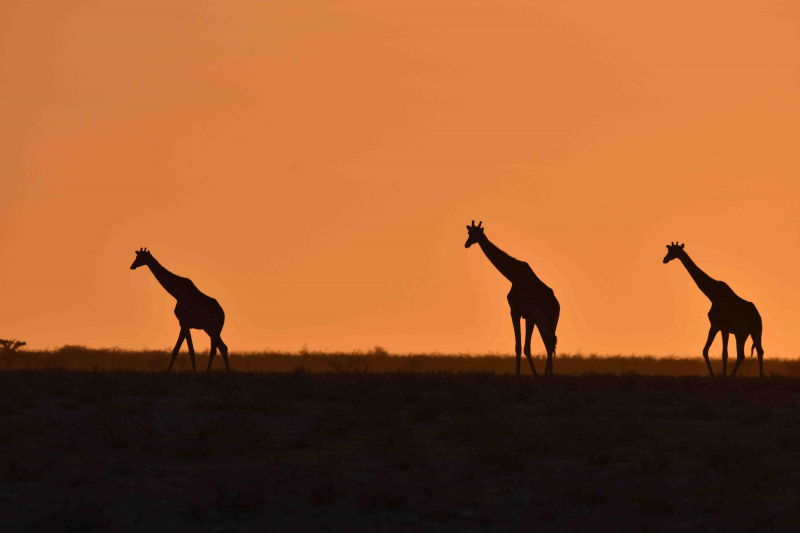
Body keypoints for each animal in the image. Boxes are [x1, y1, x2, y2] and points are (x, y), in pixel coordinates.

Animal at [466, 220, 560, 374]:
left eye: (470, 233)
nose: (466, 244)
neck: (512, 275)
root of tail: (556, 305)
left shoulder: (515, 311)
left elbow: (518, 347)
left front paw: (518, 375)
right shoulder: (528, 317)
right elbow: (526, 347)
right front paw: (535, 375)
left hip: (543, 320)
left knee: (549, 343)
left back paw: (549, 375)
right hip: (552, 321)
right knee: (550, 344)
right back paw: (548, 375)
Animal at [664, 243, 764, 376]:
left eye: (672, 251)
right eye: (668, 250)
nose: (664, 260)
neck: (712, 295)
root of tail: (757, 316)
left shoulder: (716, 325)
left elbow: (709, 351)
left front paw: (716, 376)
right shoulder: (723, 328)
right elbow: (721, 353)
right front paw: (721, 375)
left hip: (741, 333)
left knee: (742, 354)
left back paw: (733, 376)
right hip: (756, 331)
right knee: (759, 351)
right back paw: (760, 377)